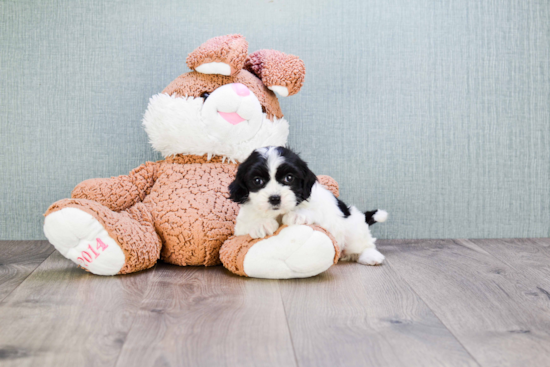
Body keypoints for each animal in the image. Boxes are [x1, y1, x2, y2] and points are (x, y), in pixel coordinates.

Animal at [231, 147, 390, 268]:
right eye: (257, 180)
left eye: (289, 178)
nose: (275, 198)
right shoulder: (240, 226)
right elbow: (247, 222)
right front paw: (261, 223)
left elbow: (314, 211)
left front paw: (296, 214)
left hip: (353, 230)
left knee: (364, 244)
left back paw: (370, 256)